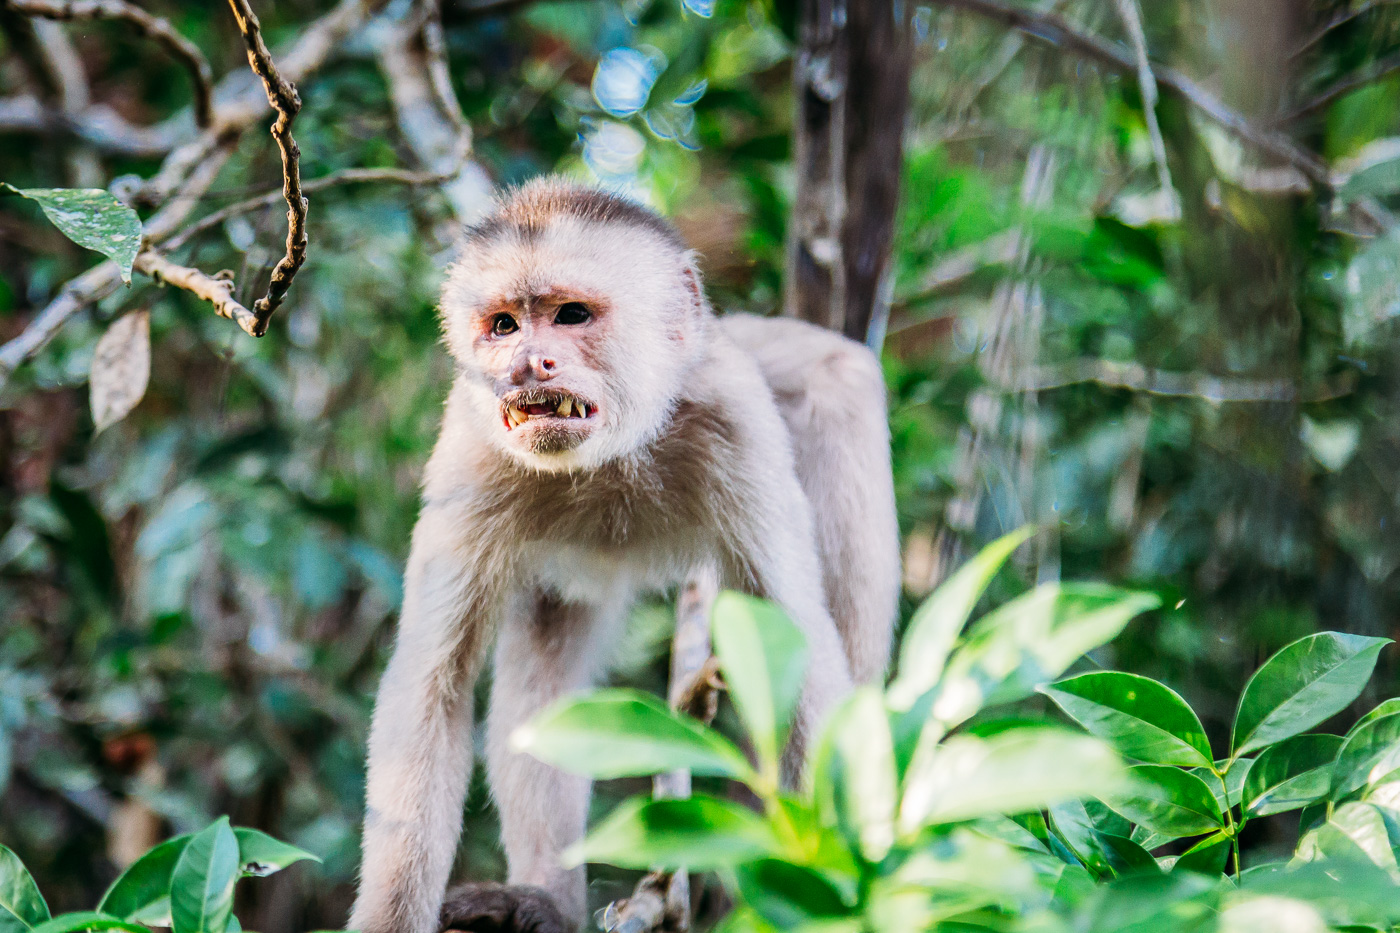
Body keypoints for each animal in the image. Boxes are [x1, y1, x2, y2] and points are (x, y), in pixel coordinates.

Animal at [348, 177, 896, 930]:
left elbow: (799, 649)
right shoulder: (471, 449)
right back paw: (545, 898)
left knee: (837, 379)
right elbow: (433, 687)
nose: (527, 364)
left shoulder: (732, 412)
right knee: (547, 645)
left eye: (572, 315)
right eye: (504, 326)